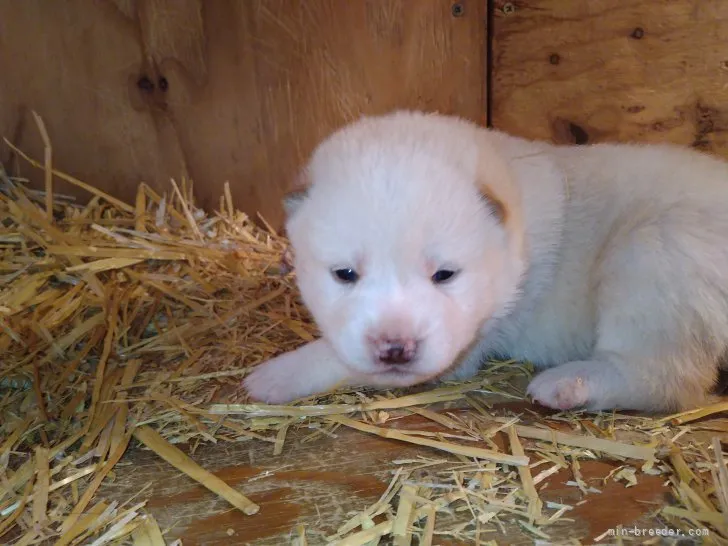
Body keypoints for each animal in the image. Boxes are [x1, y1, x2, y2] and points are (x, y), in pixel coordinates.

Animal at [243, 109, 728, 408]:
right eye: (345, 274)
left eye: (444, 275)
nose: (396, 349)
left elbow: (335, 357)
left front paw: (271, 376)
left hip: (654, 256)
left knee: (663, 377)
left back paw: (568, 384)